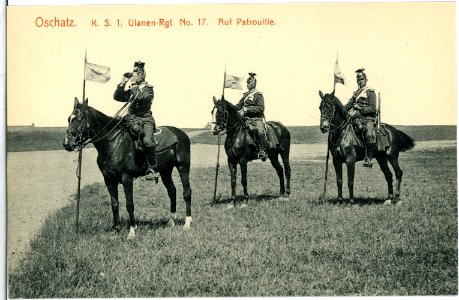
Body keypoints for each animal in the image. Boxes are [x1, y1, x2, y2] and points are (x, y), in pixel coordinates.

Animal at [63, 98, 192, 237]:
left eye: (80, 118)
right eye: (69, 118)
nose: (67, 144)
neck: (112, 143)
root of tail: (181, 133)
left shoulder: (127, 179)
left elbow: (129, 205)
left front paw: (132, 231)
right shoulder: (109, 180)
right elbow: (114, 204)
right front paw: (116, 229)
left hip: (183, 167)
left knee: (187, 192)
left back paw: (187, 223)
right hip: (165, 171)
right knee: (172, 191)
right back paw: (171, 222)